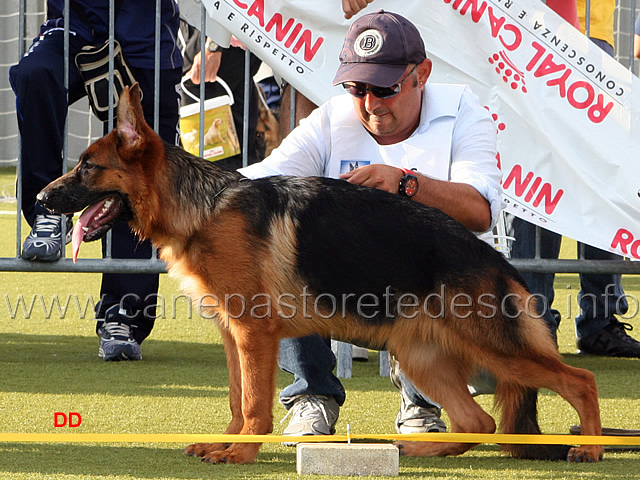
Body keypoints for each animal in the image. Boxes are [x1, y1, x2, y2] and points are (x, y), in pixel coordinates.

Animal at [37, 85, 604, 464]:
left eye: (87, 166)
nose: (40, 197)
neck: (204, 206)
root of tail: (499, 262)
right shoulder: (233, 337)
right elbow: (236, 400)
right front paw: (225, 442)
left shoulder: (254, 334)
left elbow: (254, 405)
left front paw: (241, 454)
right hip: (423, 358)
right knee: (478, 421)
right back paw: (420, 450)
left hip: (493, 349)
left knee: (580, 380)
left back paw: (591, 447)